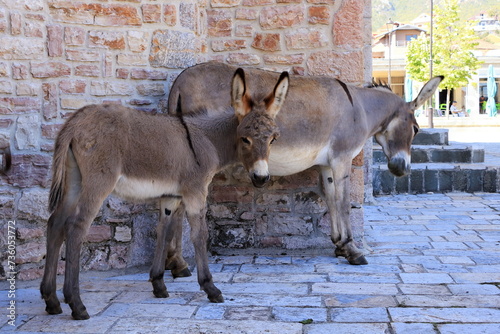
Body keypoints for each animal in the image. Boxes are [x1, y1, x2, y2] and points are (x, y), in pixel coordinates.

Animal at [41, 68, 292, 320]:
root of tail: (75, 121)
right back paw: (76, 304)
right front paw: (210, 288)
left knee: (55, 223)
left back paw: (51, 299)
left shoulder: (171, 196)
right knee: (76, 227)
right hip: (98, 182)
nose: (261, 178)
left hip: (74, 180)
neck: (208, 140)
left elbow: (165, 230)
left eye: (273, 139)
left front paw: (159, 284)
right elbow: (199, 235)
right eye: (245, 139)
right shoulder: (196, 191)